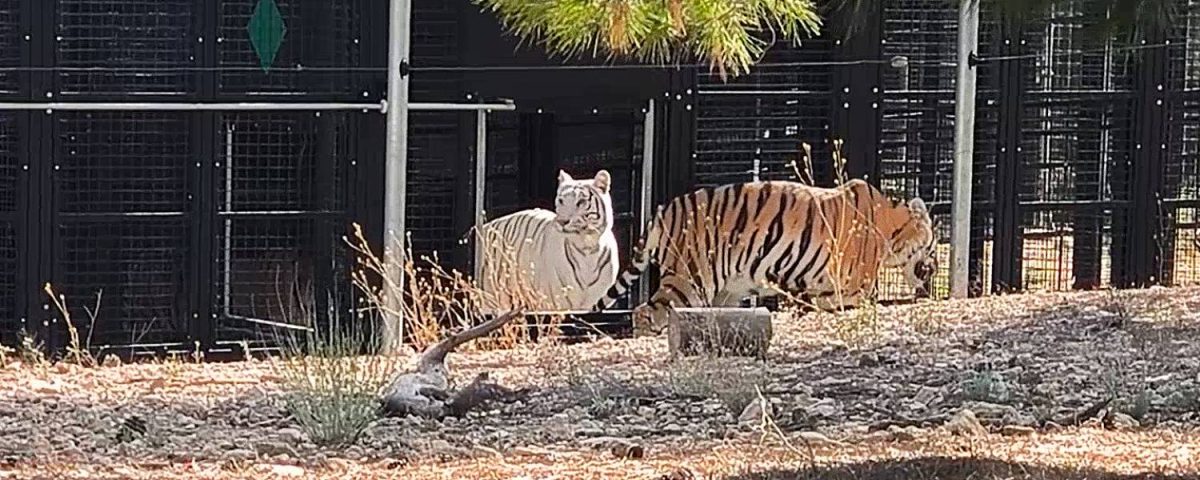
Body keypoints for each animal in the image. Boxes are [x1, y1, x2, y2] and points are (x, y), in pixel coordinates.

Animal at [476, 169, 620, 315]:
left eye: (581, 202)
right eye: (561, 200)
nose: (562, 221)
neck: (587, 249)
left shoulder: (588, 304)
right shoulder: (552, 304)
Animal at [592, 178, 937, 336]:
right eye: (933, 247)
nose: (934, 268)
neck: (892, 227)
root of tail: (664, 210)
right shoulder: (851, 287)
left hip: (723, 291)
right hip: (689, 280)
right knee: (644, 310)